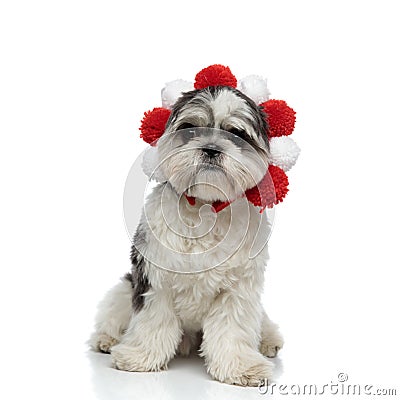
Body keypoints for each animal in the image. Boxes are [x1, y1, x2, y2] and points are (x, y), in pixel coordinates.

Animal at [90, 68, 296, 384]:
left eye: (237, 134)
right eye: (190, 130)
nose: (211, 149)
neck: (205, 207)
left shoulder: (238, 289)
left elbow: (232, 328)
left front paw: (241, 367)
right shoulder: (155, 279)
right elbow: (152, 321)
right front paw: (140, 357)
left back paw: (268, 341)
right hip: (125, 288)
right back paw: (107, 339)